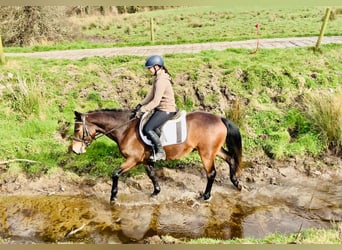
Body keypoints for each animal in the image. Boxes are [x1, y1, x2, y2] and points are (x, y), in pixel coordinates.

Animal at [71, 109, 243, 203]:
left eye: (77, 130)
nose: (74, 150)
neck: (125, 129)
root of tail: (219, 118)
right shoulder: (145, 160)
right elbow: (152, 175)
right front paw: (156, 192)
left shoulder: (132, 160)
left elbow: (115, 174)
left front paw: (113, 197)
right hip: (214, 150)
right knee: (230, 158)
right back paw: (236, 183)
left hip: (206, 153)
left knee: (211, 173)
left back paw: (206, 195)